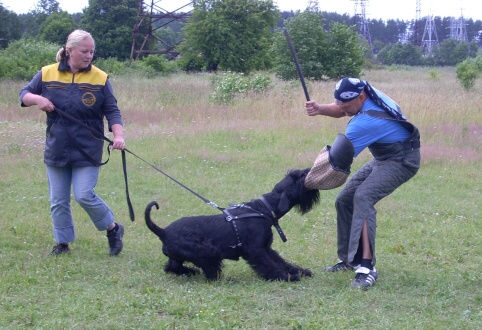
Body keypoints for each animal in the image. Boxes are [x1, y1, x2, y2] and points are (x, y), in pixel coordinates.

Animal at [146, 170, 320, 282]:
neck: (264, 209)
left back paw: (191, 272)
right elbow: (269, 265)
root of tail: (163, 232)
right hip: (207, 251)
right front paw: (287, 277)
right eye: (300, 176)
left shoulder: (267, 248)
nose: (308, 170)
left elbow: (281, 261)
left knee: (171, 267)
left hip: (178, 256)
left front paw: (300, 271)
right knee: (210, 272)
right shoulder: (255, 250)